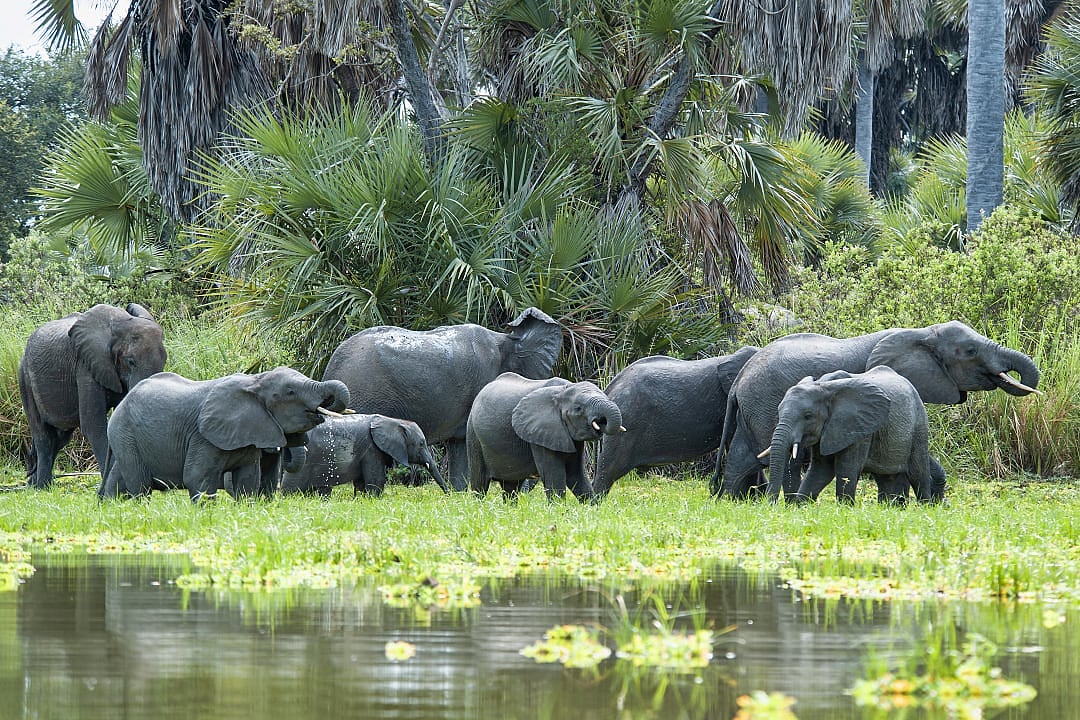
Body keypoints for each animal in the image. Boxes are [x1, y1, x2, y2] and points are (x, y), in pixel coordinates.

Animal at [18, 303, 167, 489]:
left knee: (59, 438)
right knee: (43, 435)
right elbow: (93, 425)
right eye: (131, 361)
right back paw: (42, 487)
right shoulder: (85, 365)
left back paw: (33, 484)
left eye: (164, 360)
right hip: (25, 379)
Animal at [98, 367, 350, 501]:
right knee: (139, 484)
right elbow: (197, 477)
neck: (255, 381)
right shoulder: (203, 436)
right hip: (126, 434)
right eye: (290, 392)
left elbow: (248, 479)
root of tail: (120, 406)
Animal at [279, 413, 448, 496]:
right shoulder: (371, 449)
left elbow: (361, 482)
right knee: (291, 486)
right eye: (421, 444)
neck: (394, 421)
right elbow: (375, 481)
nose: (449, 496)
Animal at [466, 372, 624, 500]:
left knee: (511, 487)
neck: (563, 390)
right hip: (473, 434)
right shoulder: (539, 433)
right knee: (479, 482)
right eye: (578, 409)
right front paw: (559, 510)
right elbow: (554, 476)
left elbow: (575, 475)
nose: (601, 421)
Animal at [766, 367, 944, 503]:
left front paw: (844, 509)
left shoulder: (859, 427)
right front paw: (801, 507)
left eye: (808, 416)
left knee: (918, 473)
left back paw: (925, 507)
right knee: (886, 478)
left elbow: (846, 469)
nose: (771, 505)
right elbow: (821, 470)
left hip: (919, 424)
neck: (825, 386)